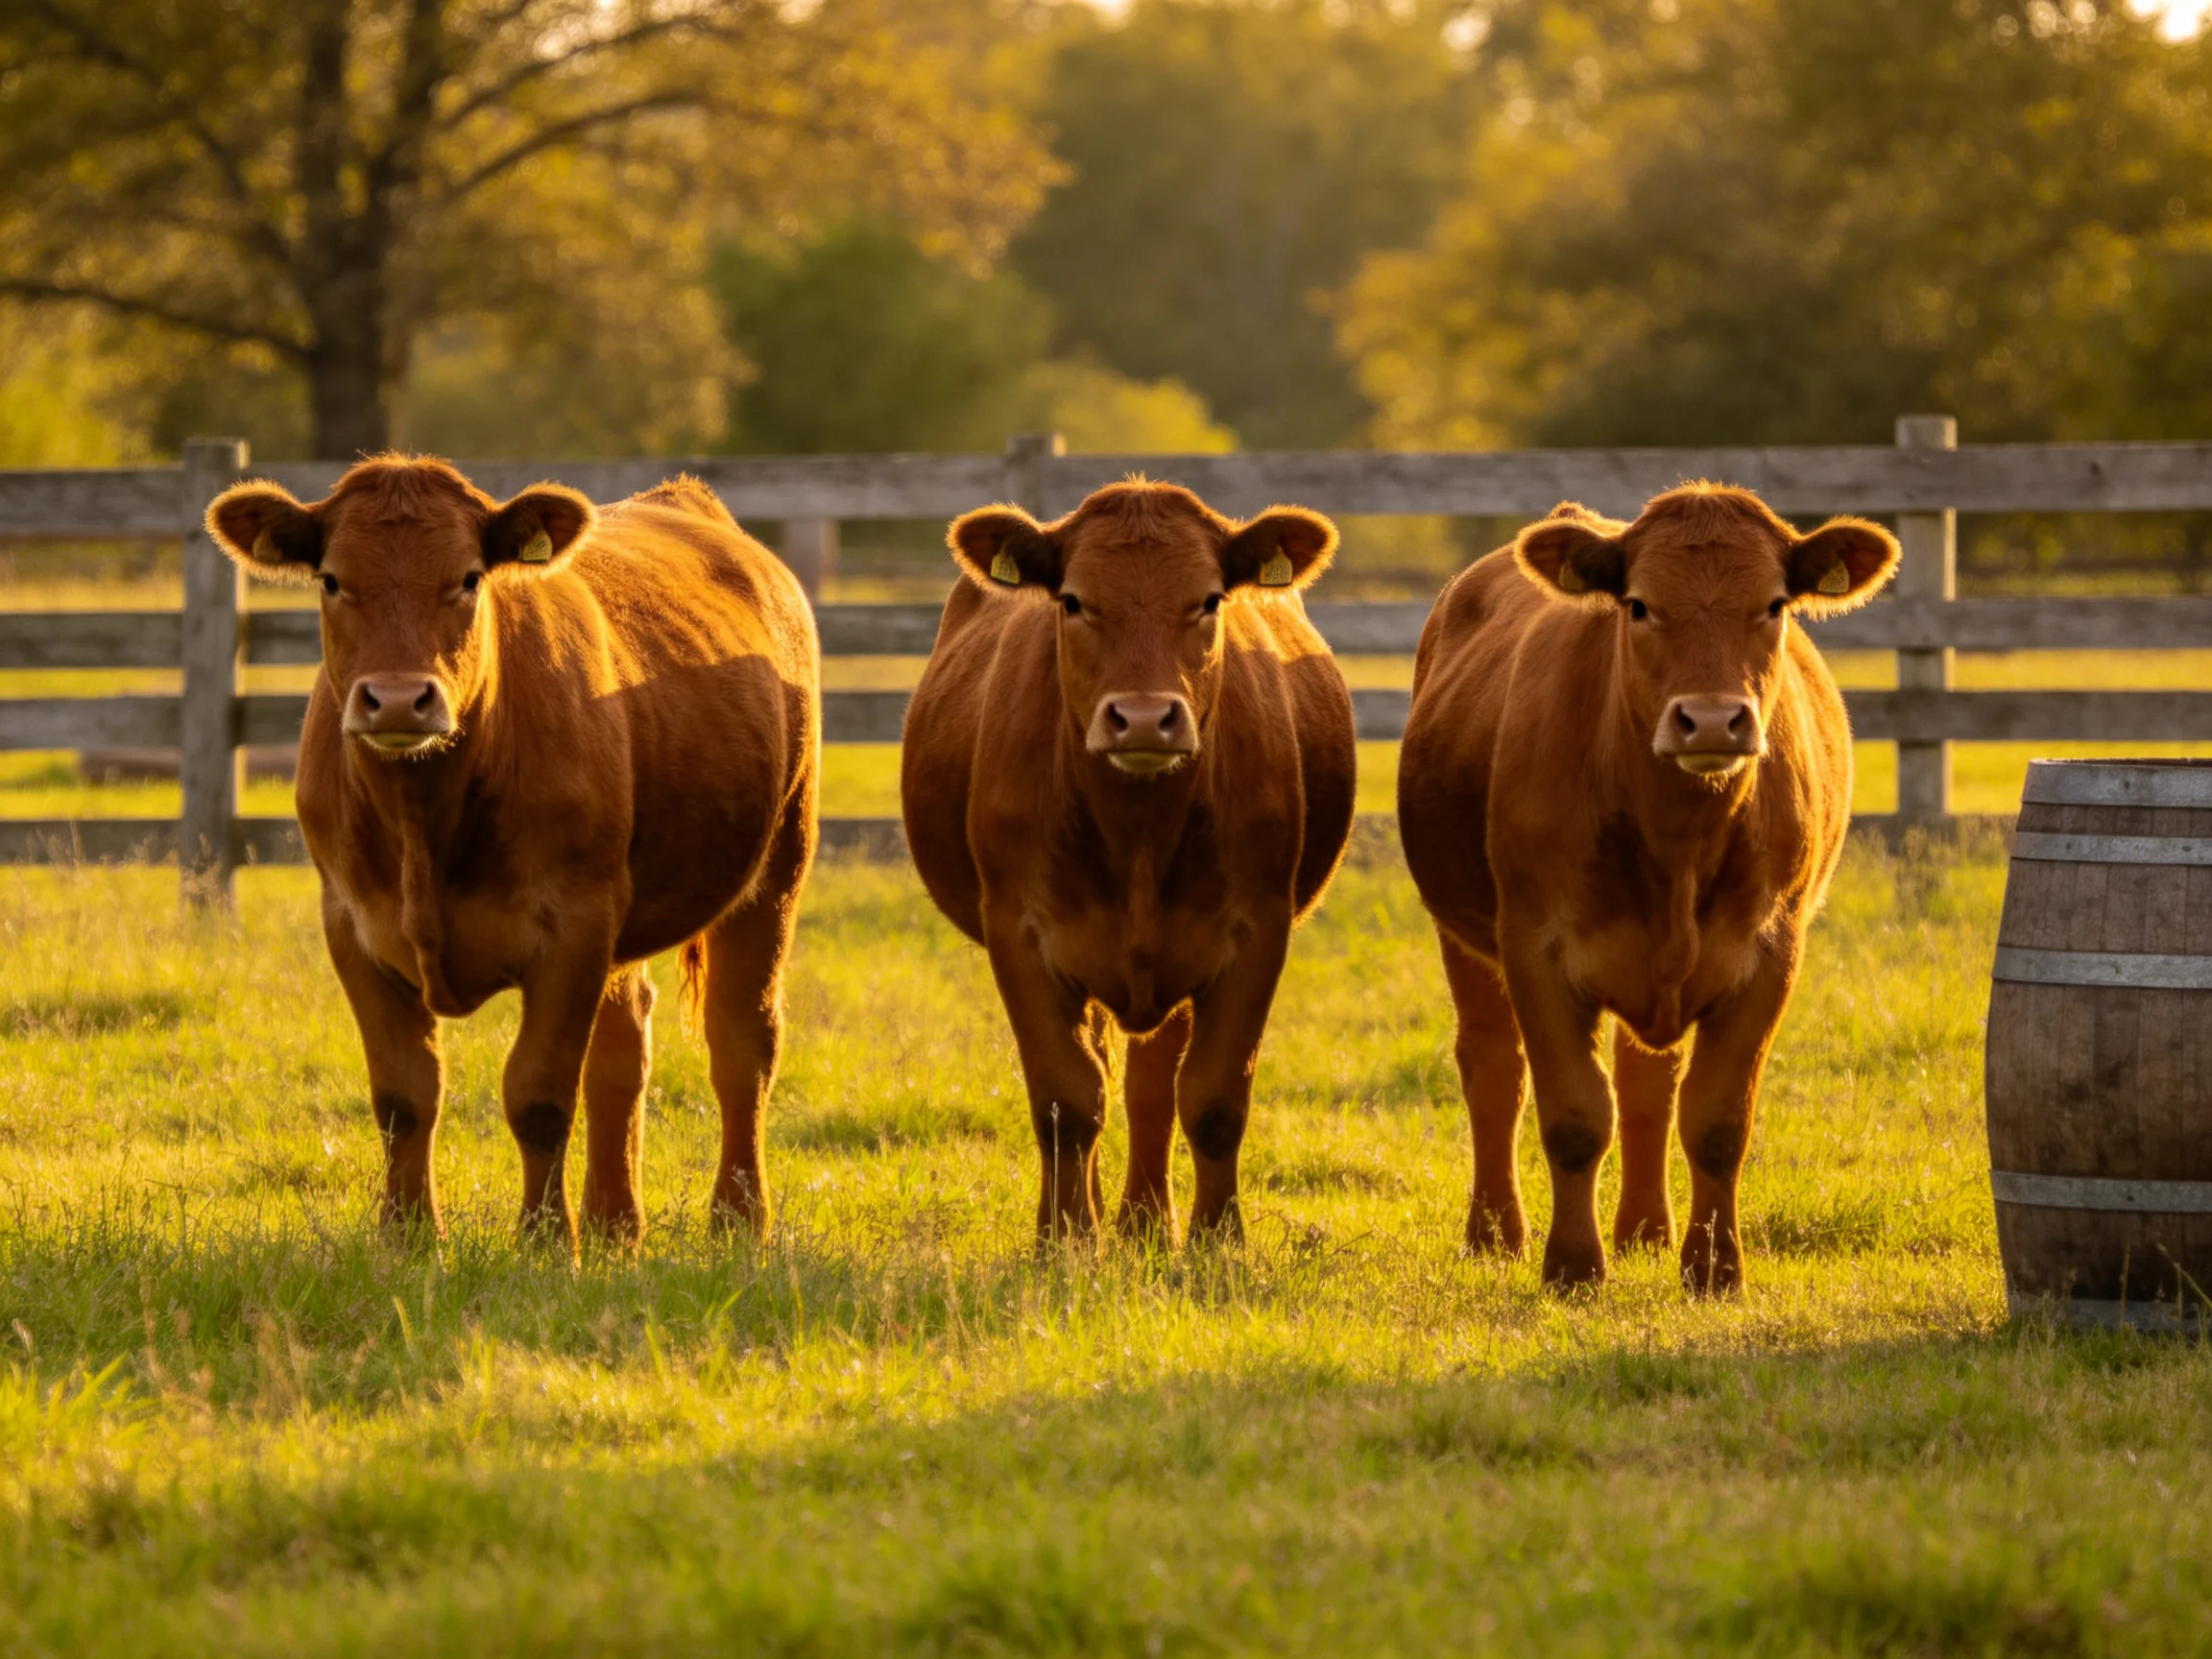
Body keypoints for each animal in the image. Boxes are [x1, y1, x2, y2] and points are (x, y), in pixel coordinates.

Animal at [204, 457, 818, 1253]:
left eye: (468, 578)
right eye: (332, 579)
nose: (396, 700)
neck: (425, 820)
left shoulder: (573, 928)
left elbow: (540, 1096)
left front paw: (547, 1243)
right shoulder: (352, 926)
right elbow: (404, 1097)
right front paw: (407, 1238)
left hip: (778, 865)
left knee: (741, 1043)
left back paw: (737, 1220)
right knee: (624, 1052)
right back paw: (615, 1224)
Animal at [902, 480, 1357, 1242]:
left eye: (1209, 600)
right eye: (1073, 601)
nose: (1144, 718)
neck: (1138, 835)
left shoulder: (1256, 932)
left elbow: (1212, 1099)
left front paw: (1217, 1243)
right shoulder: (1020, 932)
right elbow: (1066, 1101)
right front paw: (1061, 1241)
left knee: (1150, 1085)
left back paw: (1145, 1222)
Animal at [1397, 483, 1897, 1292]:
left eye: (1775, 604)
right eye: (1638, 605)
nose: (1713, 720)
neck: (1677, 844)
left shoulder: (1771, 953)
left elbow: (1716, 1120)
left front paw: (1714, 1269)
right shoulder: (1534, 948)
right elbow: (1573, 1116)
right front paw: (1572, 1267)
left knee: (1646, 1085)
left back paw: (1644, 1231)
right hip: (1462, 937)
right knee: (1494, 1070)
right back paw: (1495, 1233)